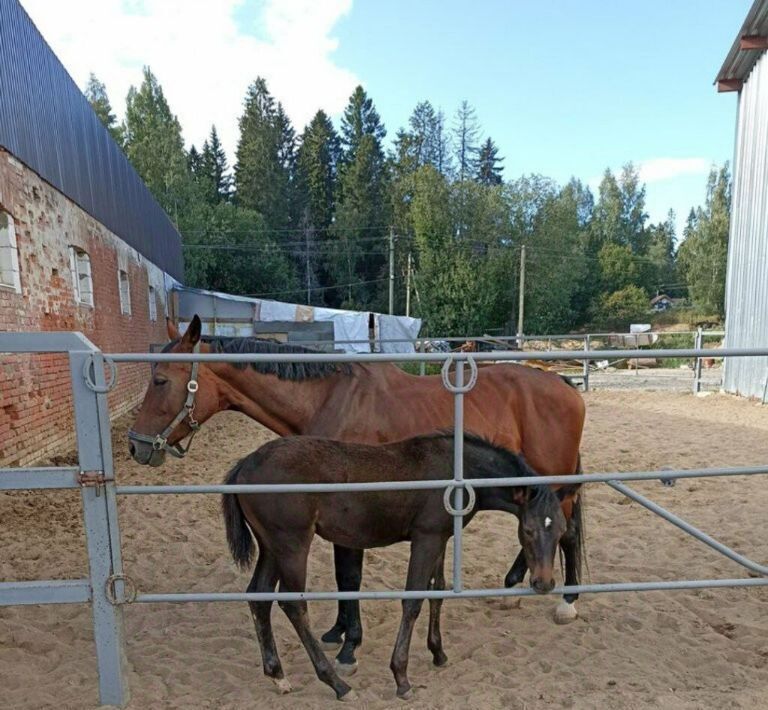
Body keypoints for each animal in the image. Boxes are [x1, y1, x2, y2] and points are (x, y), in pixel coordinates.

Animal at [130, 316, 588, 672]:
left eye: (160, 379)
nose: (137, 446)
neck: (330, 399)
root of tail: (565, 385)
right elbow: (343, 577)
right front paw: (338, 632)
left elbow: (349, 576)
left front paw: (350, 645)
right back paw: (516, 584)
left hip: (556, 482)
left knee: (563, 532)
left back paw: (567, 601)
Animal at [219, 434, 580, 700]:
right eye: (528, 530)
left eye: (561, 529)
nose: (544, 583)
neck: (457, 467)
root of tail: (244, 466)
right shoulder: (425, 538)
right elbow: (413, 600)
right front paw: (401, 677)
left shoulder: (440, 538)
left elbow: (437, 591)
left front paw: (438, 653)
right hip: (292, 545)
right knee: (292, 605)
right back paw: (337, 683)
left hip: (271, 547)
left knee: (258, 597)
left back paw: (278, 676)